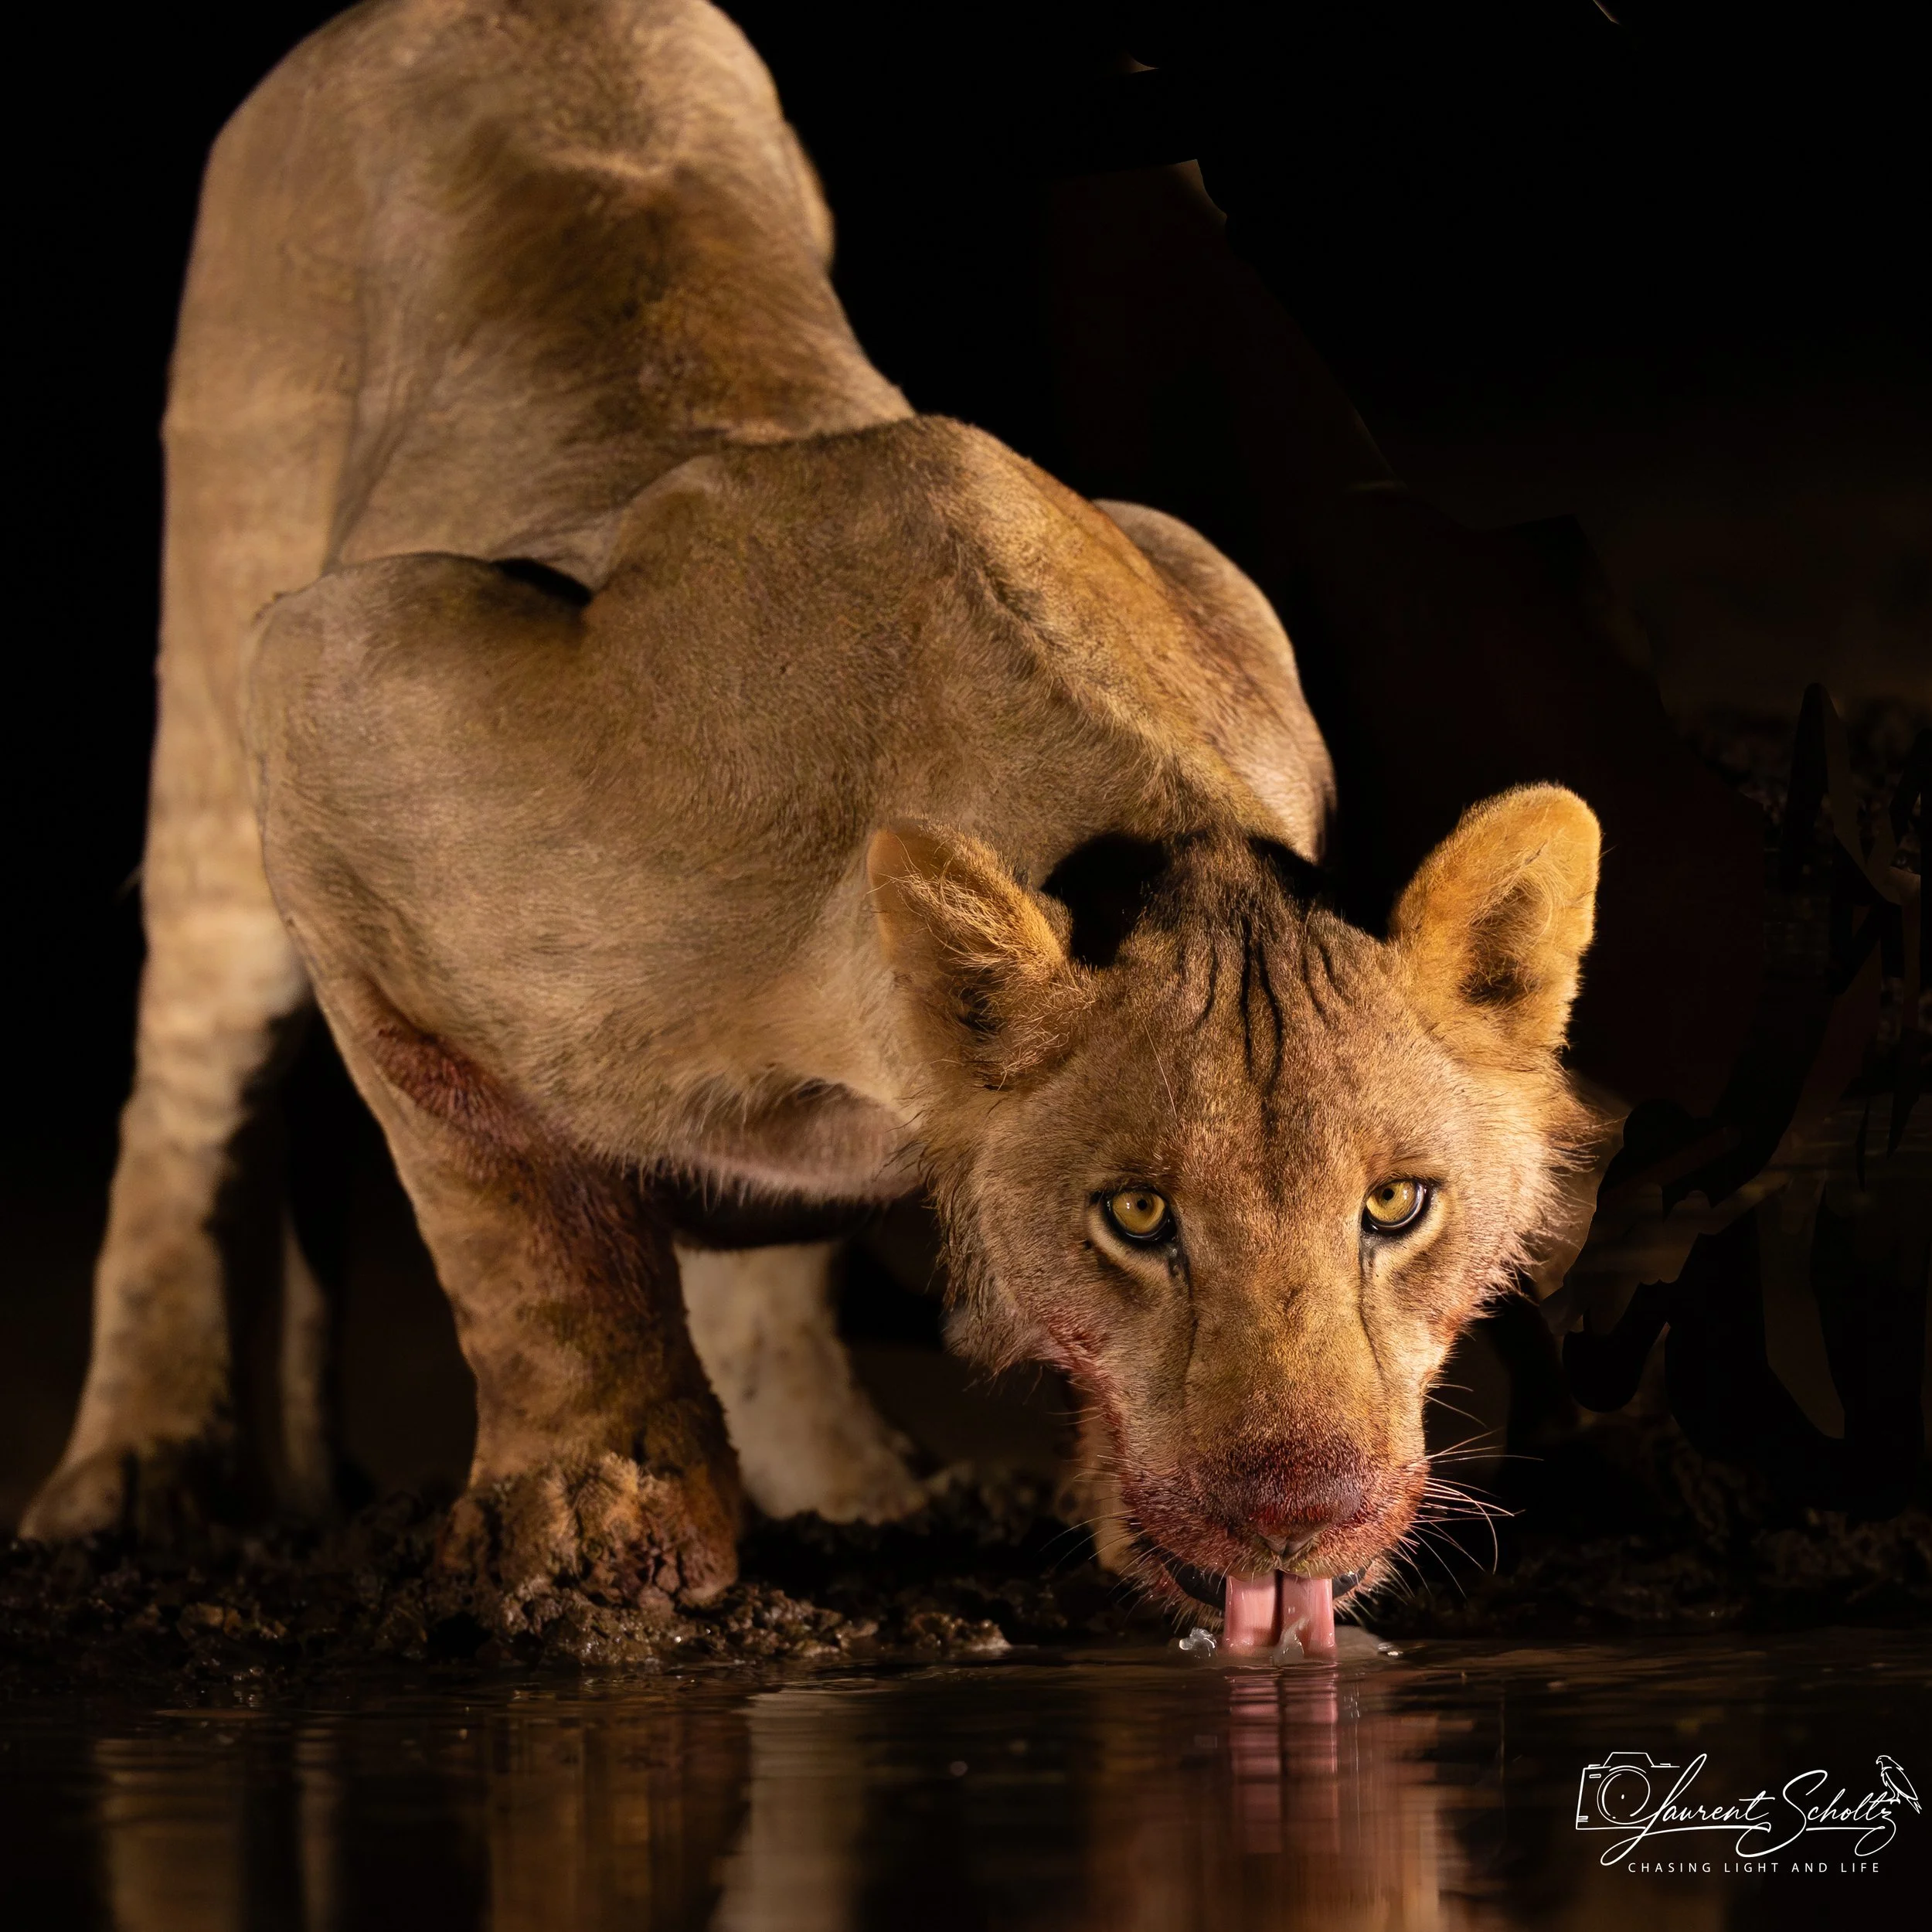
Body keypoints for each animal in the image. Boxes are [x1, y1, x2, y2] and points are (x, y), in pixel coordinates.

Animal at [24, 0, 1599, 1651]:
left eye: (1399, 1205)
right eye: (1137, 1214)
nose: (1298, 1516)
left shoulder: (1208, 585)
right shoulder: (343, 675)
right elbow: (517, 1214)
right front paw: (593, 1542)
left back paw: (856, 1477)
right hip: (220, 675)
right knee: (190, 1089)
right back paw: (136, 1478)